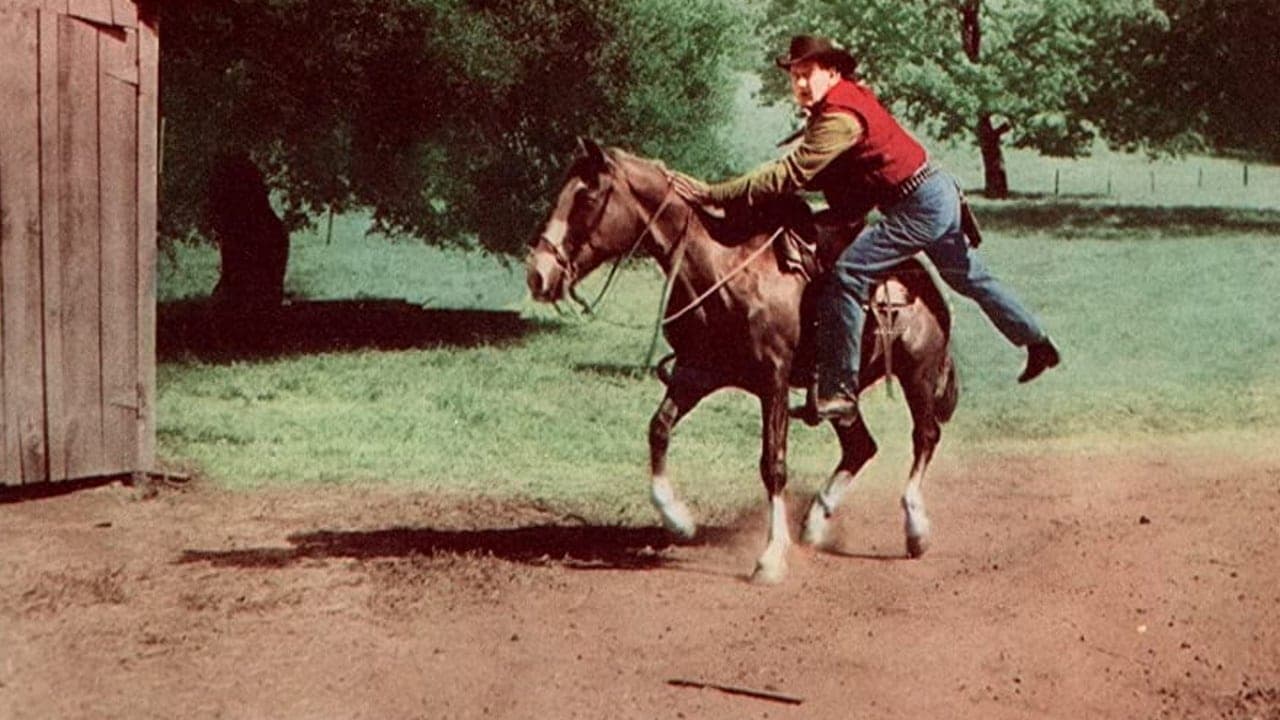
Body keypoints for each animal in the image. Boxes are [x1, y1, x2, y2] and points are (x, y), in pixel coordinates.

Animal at [524, 140, 957, 584]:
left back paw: (915, 527)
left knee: (925, 436)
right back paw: (815, 523)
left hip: (918, 372)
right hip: (839, 393)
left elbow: (773, 465)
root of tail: (921, 278)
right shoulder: (696, 372)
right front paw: (678, 520)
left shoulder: (774, 379)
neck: (721, 269)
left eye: (587, 197)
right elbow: (658, 429)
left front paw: (771, 557)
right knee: (861, 447)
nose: (538, 274)